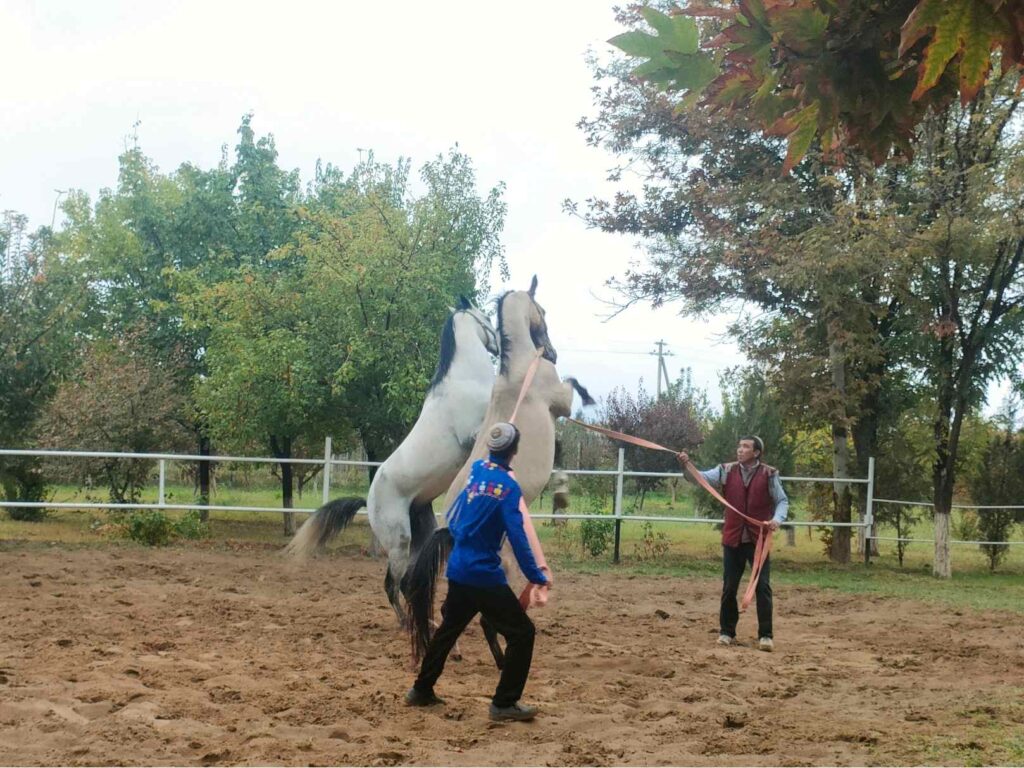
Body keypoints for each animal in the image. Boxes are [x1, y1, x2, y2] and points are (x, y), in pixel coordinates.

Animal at [286, 296, 497, 626]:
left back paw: (424, 621)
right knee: (393, 584)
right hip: (399, 541)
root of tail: (368, 500)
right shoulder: (472, 435)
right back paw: (407, 623)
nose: (498, 345)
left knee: (409, 582)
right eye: (486, 317)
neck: (465, 380)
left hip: (420, 532)